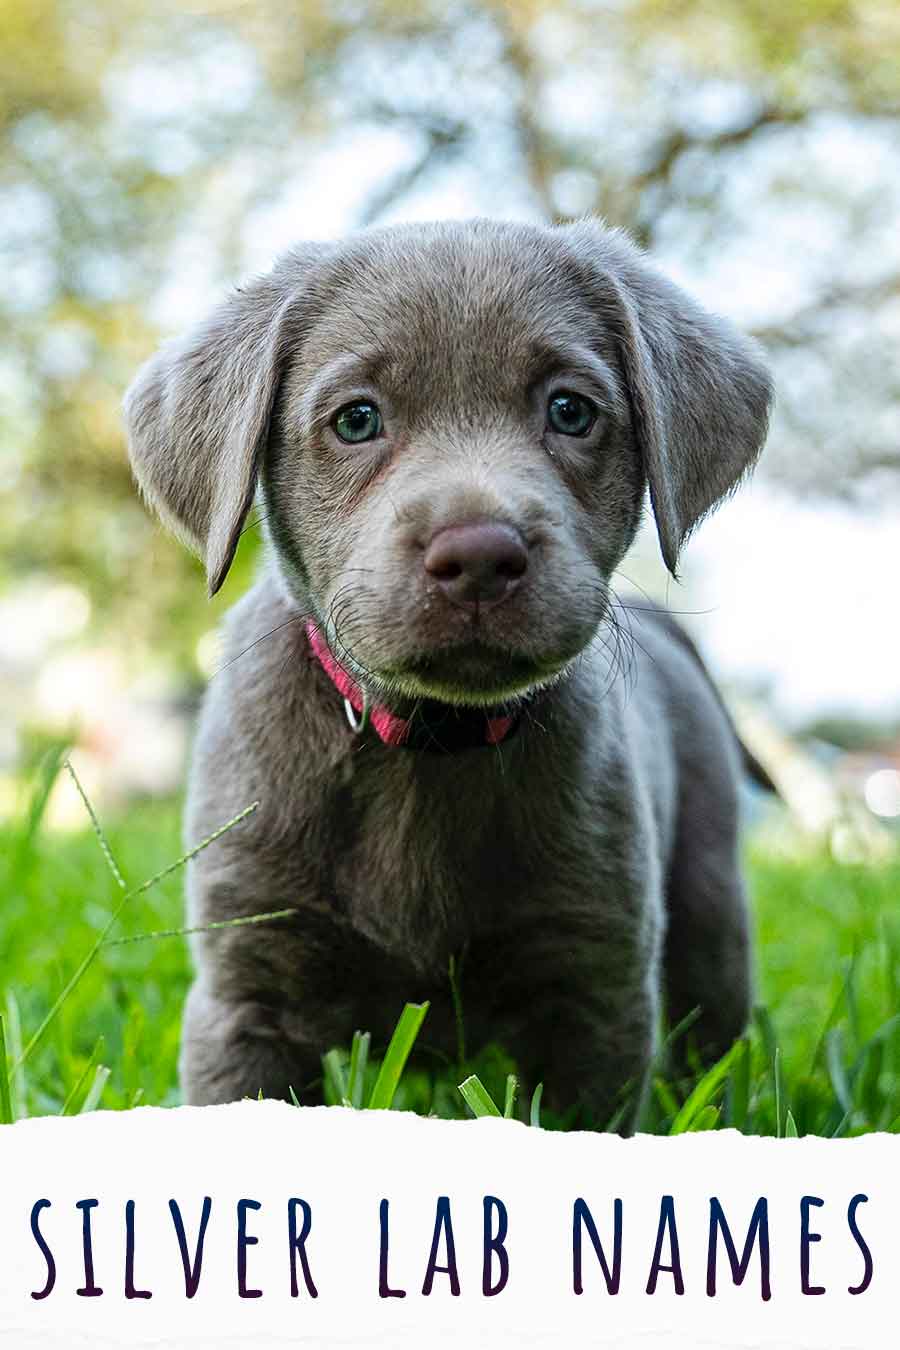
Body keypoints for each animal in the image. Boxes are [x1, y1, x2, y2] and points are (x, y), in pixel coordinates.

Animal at [124, 221, 777, 1128]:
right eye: (357, 419)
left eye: (570, 410)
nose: (478, 555)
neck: (433, 741)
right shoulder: (248, 992)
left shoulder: (594, 992)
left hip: (710, 902)